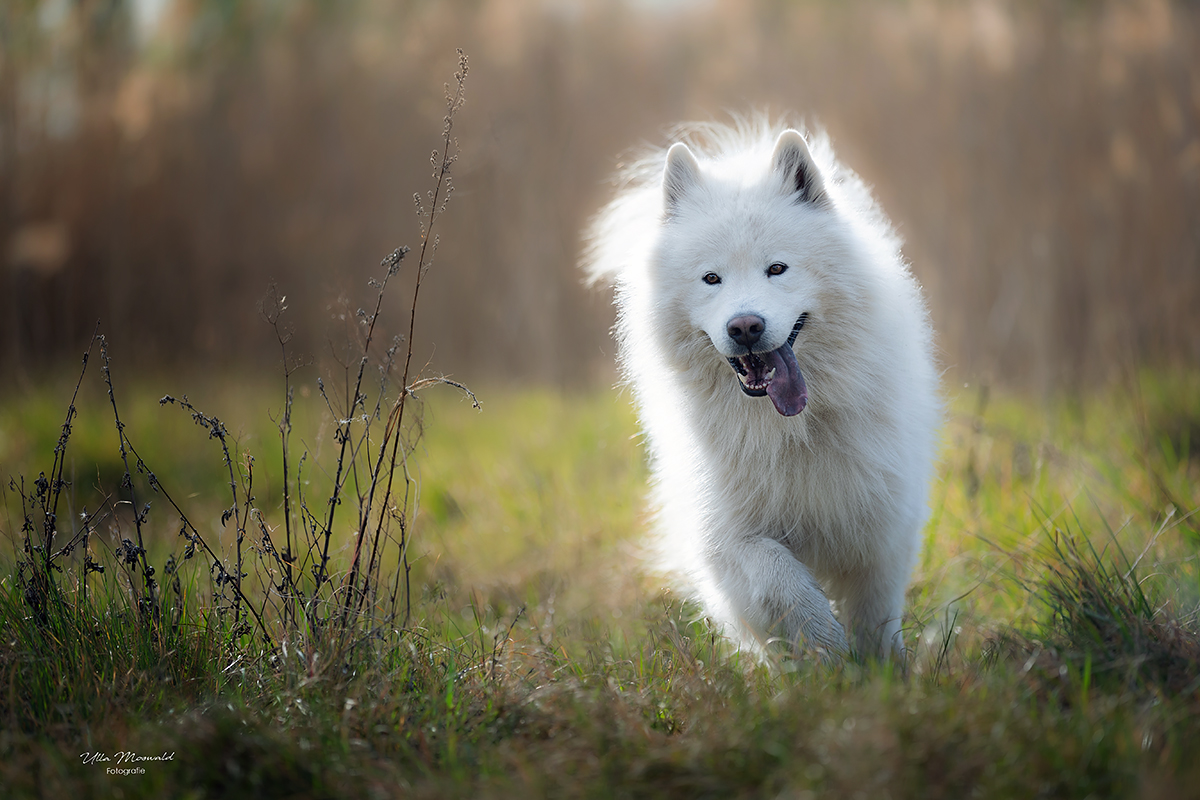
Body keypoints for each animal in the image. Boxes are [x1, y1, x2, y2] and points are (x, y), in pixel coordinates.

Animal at [585, 117, 940, 657]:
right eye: (711, 278)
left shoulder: (880, 529)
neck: (792, 430)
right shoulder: (730, 534)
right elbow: (780, 581)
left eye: (777, 268)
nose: (745, 326)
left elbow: (875, 618)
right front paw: (825, 649)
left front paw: (880, 668)